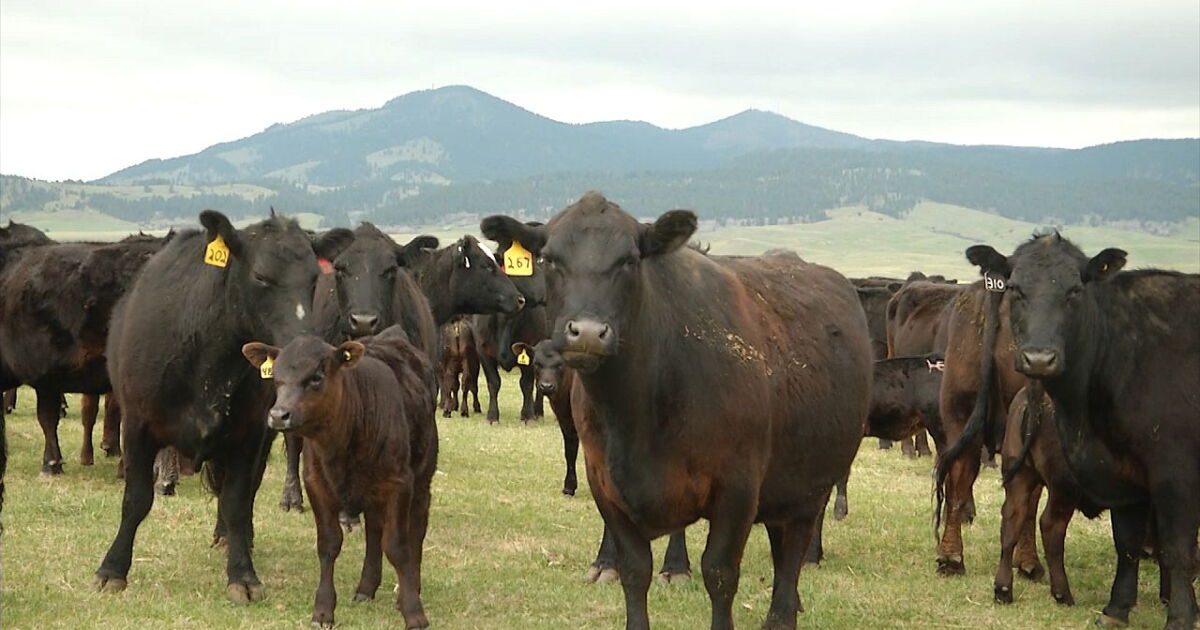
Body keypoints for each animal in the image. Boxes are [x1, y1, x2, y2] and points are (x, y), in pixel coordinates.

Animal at [93, 210, 353, 602]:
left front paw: (242, 574)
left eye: (313, 279)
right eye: (260, 276)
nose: (306, 351)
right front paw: (112, 569)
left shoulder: (250, 434)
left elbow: (236, 501)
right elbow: (136, 499)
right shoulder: (137, 426)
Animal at [242, 324, 436, 629]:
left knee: (416, 531)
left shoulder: (399, 483)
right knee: (374, 531)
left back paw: (409, 587)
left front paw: (413, 611)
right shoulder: (316, 484)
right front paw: (323, 610)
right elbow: (329, 544)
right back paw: (366, 588)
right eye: (276, 378)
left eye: (316, 377)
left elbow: (397, 546)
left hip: (421, 481)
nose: (279, 415)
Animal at [482, 191, 871, 630]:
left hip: (809, 488)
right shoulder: (606, 486)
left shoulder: (737, 489)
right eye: (549, 259)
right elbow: (635, 572)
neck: (637, 412)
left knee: (789, 565)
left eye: (630, 260)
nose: (587, 333)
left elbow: (719, 574)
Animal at [939, 233, 1198, 630]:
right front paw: (1176, 613)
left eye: (1075, 289)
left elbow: (1136, 542)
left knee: (996, 502)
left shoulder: (1136, 476)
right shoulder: (1161, 477)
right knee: (1037, 516)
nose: (1039, 358)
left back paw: (981, 571)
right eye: (1017, 288)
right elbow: (1170, 546)